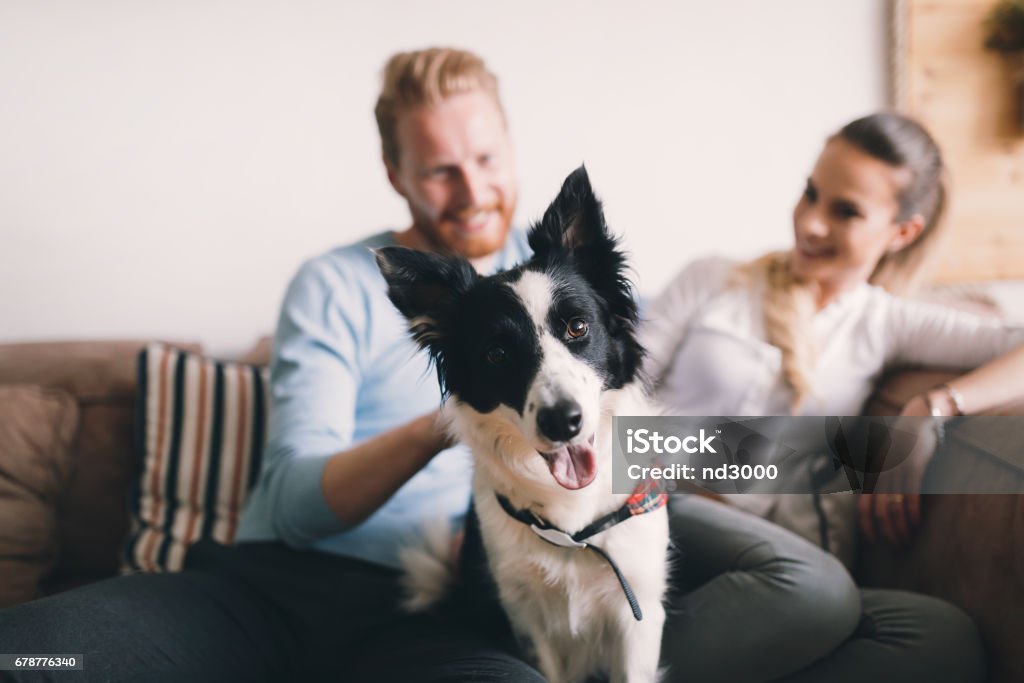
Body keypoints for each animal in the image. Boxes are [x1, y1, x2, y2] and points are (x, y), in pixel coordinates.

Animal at [376, 166, 671, 683]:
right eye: (496, 354)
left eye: (577, 327)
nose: (563, 422)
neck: (573, 524)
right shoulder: (526, 617)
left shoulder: (638, 610)